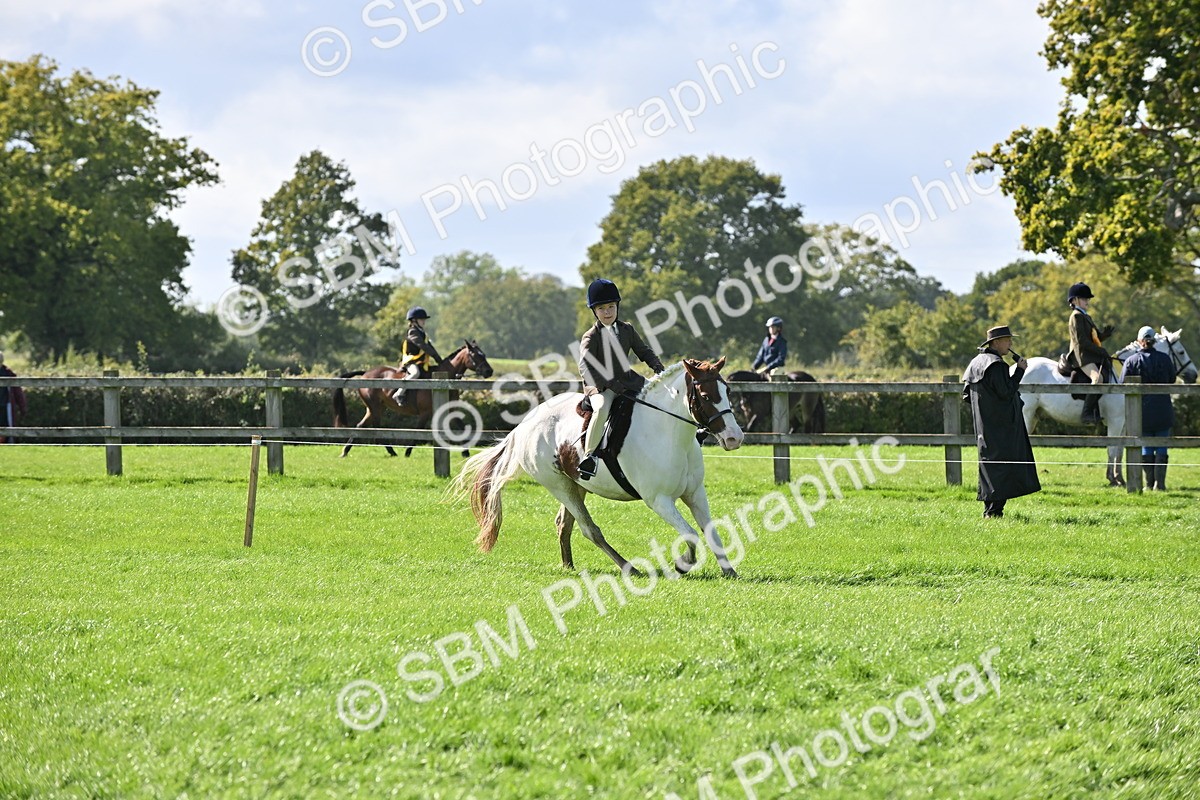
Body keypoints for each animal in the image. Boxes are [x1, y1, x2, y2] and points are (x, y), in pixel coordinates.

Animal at [333, 340, 493, 457]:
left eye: (484, 354)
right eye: (476, 355)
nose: (489, 371)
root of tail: (366, 373)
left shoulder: (450, 410)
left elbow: (461, 429)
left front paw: (466, 452)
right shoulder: (425, 413)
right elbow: (418, 431)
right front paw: (408, 452)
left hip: (376, 408)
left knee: (361, 426)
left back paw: (346, 451)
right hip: (375, 408)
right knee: (375, 428)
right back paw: (391, 451)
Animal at [453, 358, 746, 578]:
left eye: (728, 392)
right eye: (706, 396)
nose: (734, 438)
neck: (670, 432)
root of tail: (526, 423)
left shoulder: (695, 494)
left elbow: (711, 531)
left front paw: (729, 571)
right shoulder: (659, 500)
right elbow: (691, 534)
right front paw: (682, 564)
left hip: (576, 484)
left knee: (564, 524)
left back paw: (568, 566)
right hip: (558, 485)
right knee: (588, 529)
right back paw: (628, 567)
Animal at [1019, 327, 1196, 486]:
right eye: (1181, 352)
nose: (1194, 375)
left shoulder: (1123, 423)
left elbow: (1120, 450)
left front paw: (1120, 478)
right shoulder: (1115, 421)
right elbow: (1112, 448)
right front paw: (1112, 478)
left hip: (1033, 417)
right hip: (1026, 416)